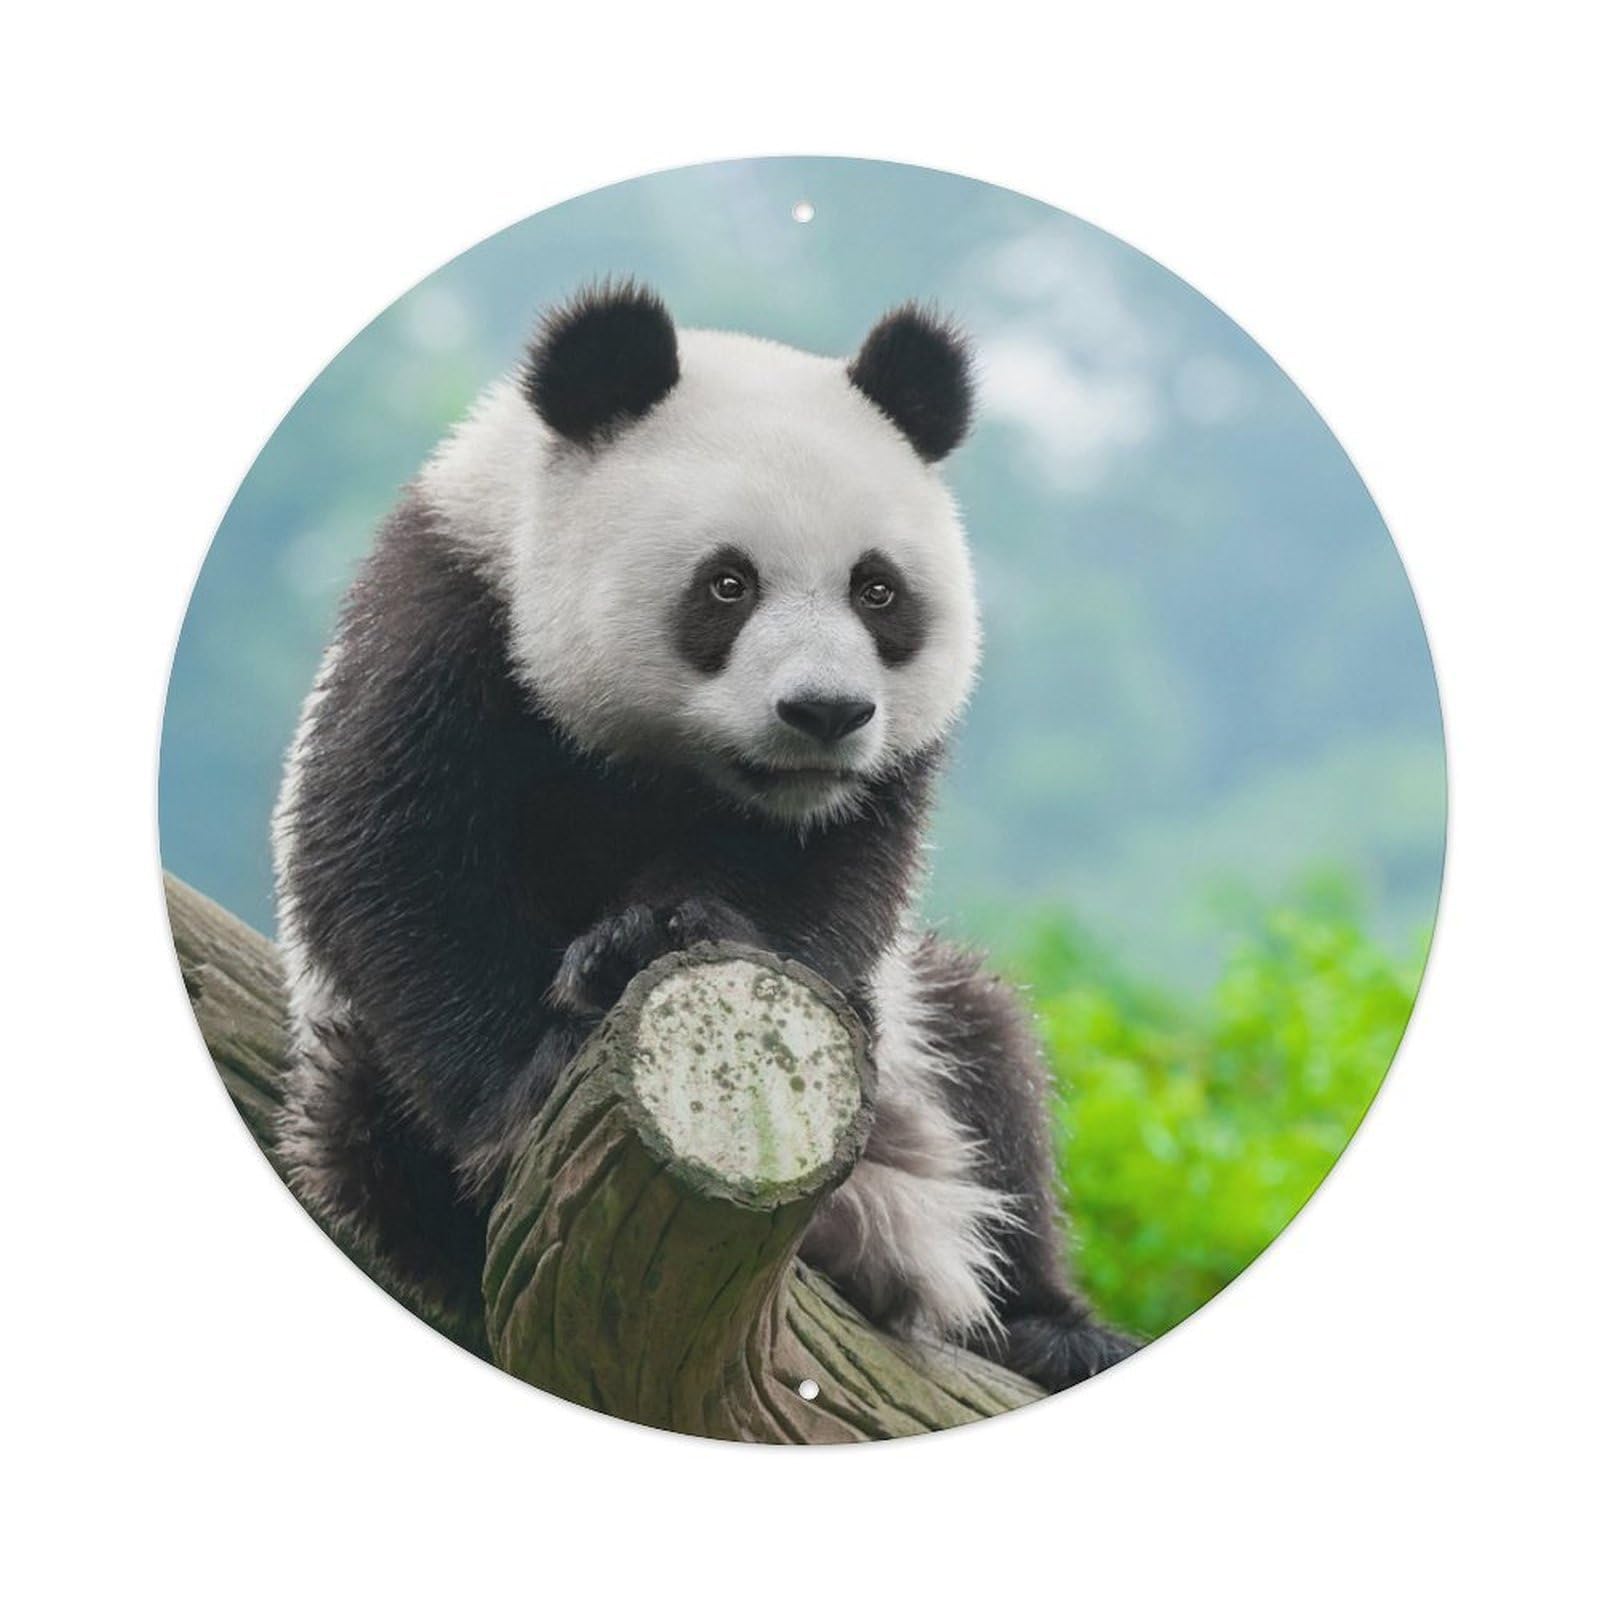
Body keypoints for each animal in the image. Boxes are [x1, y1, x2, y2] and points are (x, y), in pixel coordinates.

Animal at [273, 280, 1138, 1392]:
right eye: (728, 584)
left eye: (877, 589)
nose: (825, 712)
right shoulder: (447, 620)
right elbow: (398, 870)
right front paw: (542, 1067)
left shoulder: (868, 787)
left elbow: (827, 882)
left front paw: (660, 932)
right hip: (349, 1079)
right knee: (366, 1132)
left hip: (919, 1058)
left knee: (991, 1063)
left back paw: (1049, 1326)